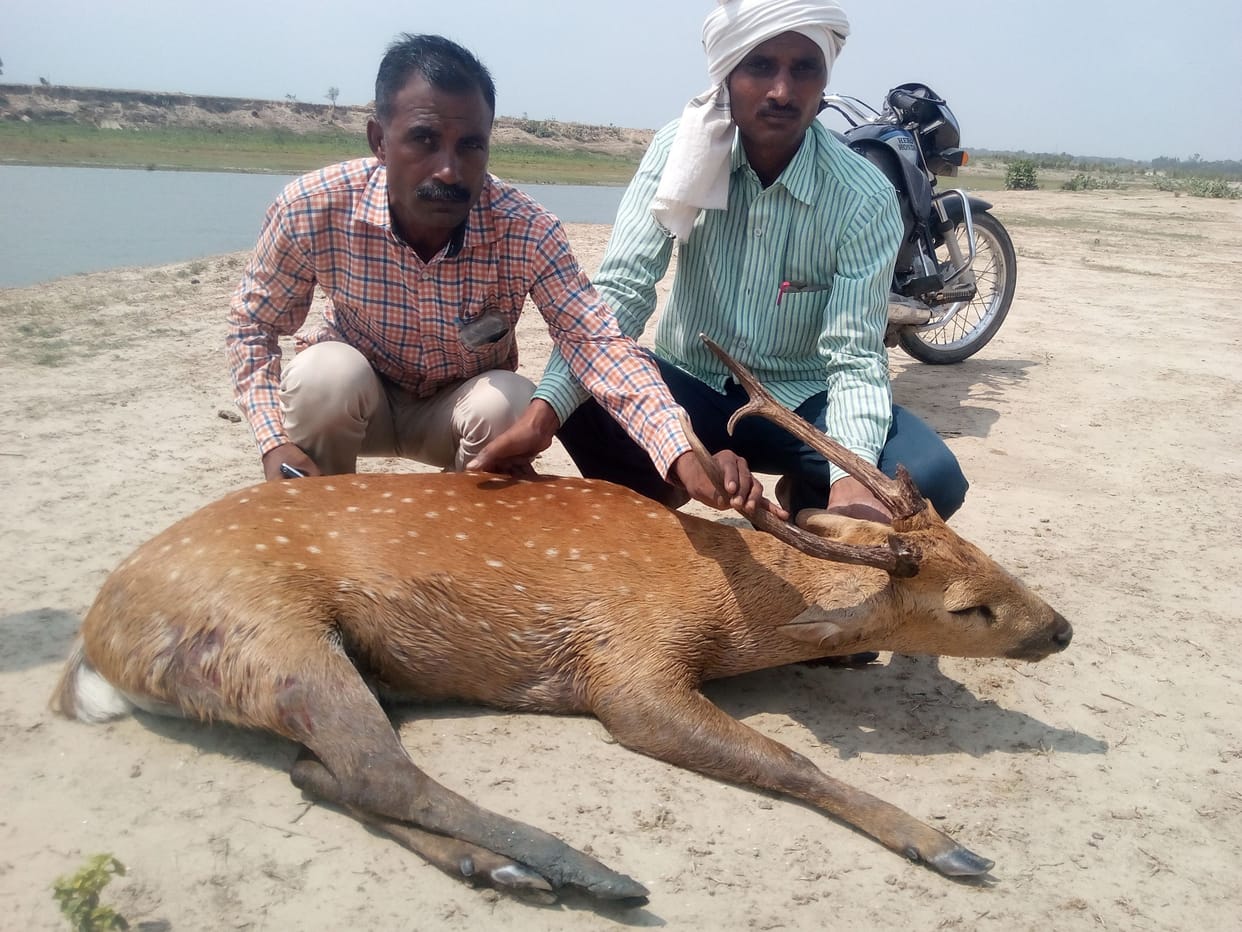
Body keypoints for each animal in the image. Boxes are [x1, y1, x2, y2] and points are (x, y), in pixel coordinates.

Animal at [51, 336, 1072, 907]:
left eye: (990, 557)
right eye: (969, 608)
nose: (1059, 629)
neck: (735, 606)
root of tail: (91, 650)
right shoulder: (628, 663)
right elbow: (791, 761)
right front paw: (944, 845)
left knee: (322, 772)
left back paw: (496, 870)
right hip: (265, 634)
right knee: (382, 773)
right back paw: (582, 871)